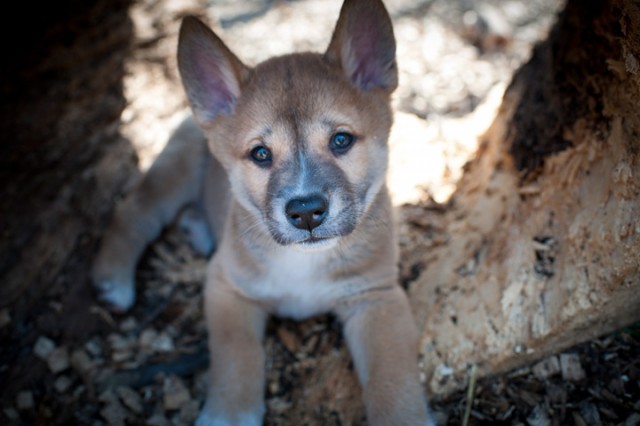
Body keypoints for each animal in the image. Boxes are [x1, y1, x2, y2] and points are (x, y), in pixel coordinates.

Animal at [92, 1, 436, 424]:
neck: (303, 264)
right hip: (176, 169)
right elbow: (236, 356)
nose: (306, 213)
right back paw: (113, 281)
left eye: (341, 140)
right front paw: (229, 413)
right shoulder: (227, 287)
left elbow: (393, 378)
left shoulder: (377, 297)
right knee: (134, 210)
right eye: (260, 154)